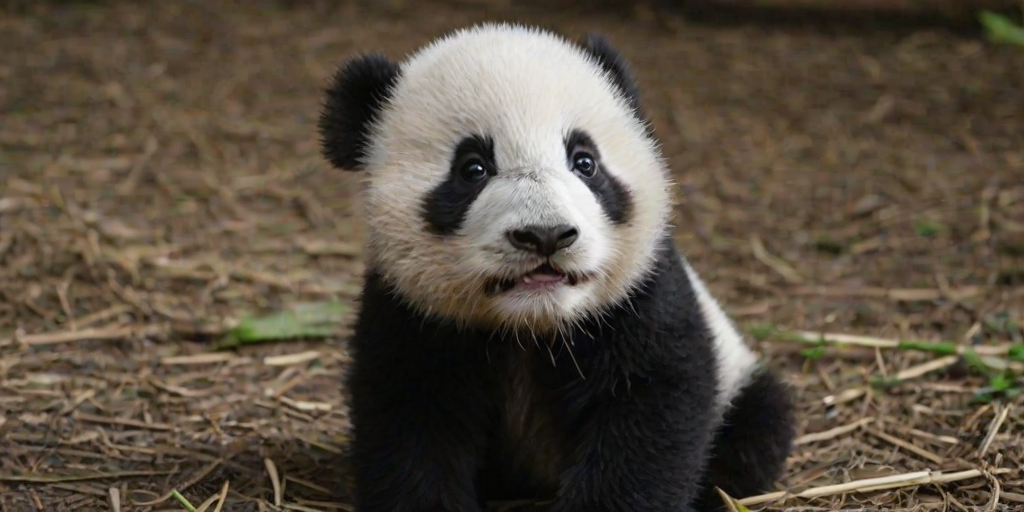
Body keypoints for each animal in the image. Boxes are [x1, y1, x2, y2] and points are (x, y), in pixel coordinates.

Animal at [318, 23, 796, 512]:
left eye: (584, 162)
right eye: (472, 168)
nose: (545, 235)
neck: (533, 324)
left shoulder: (640, 296)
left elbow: (651, 408)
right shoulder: (411, 312)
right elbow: (410, 420)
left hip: (739, 385)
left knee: (760, 425)